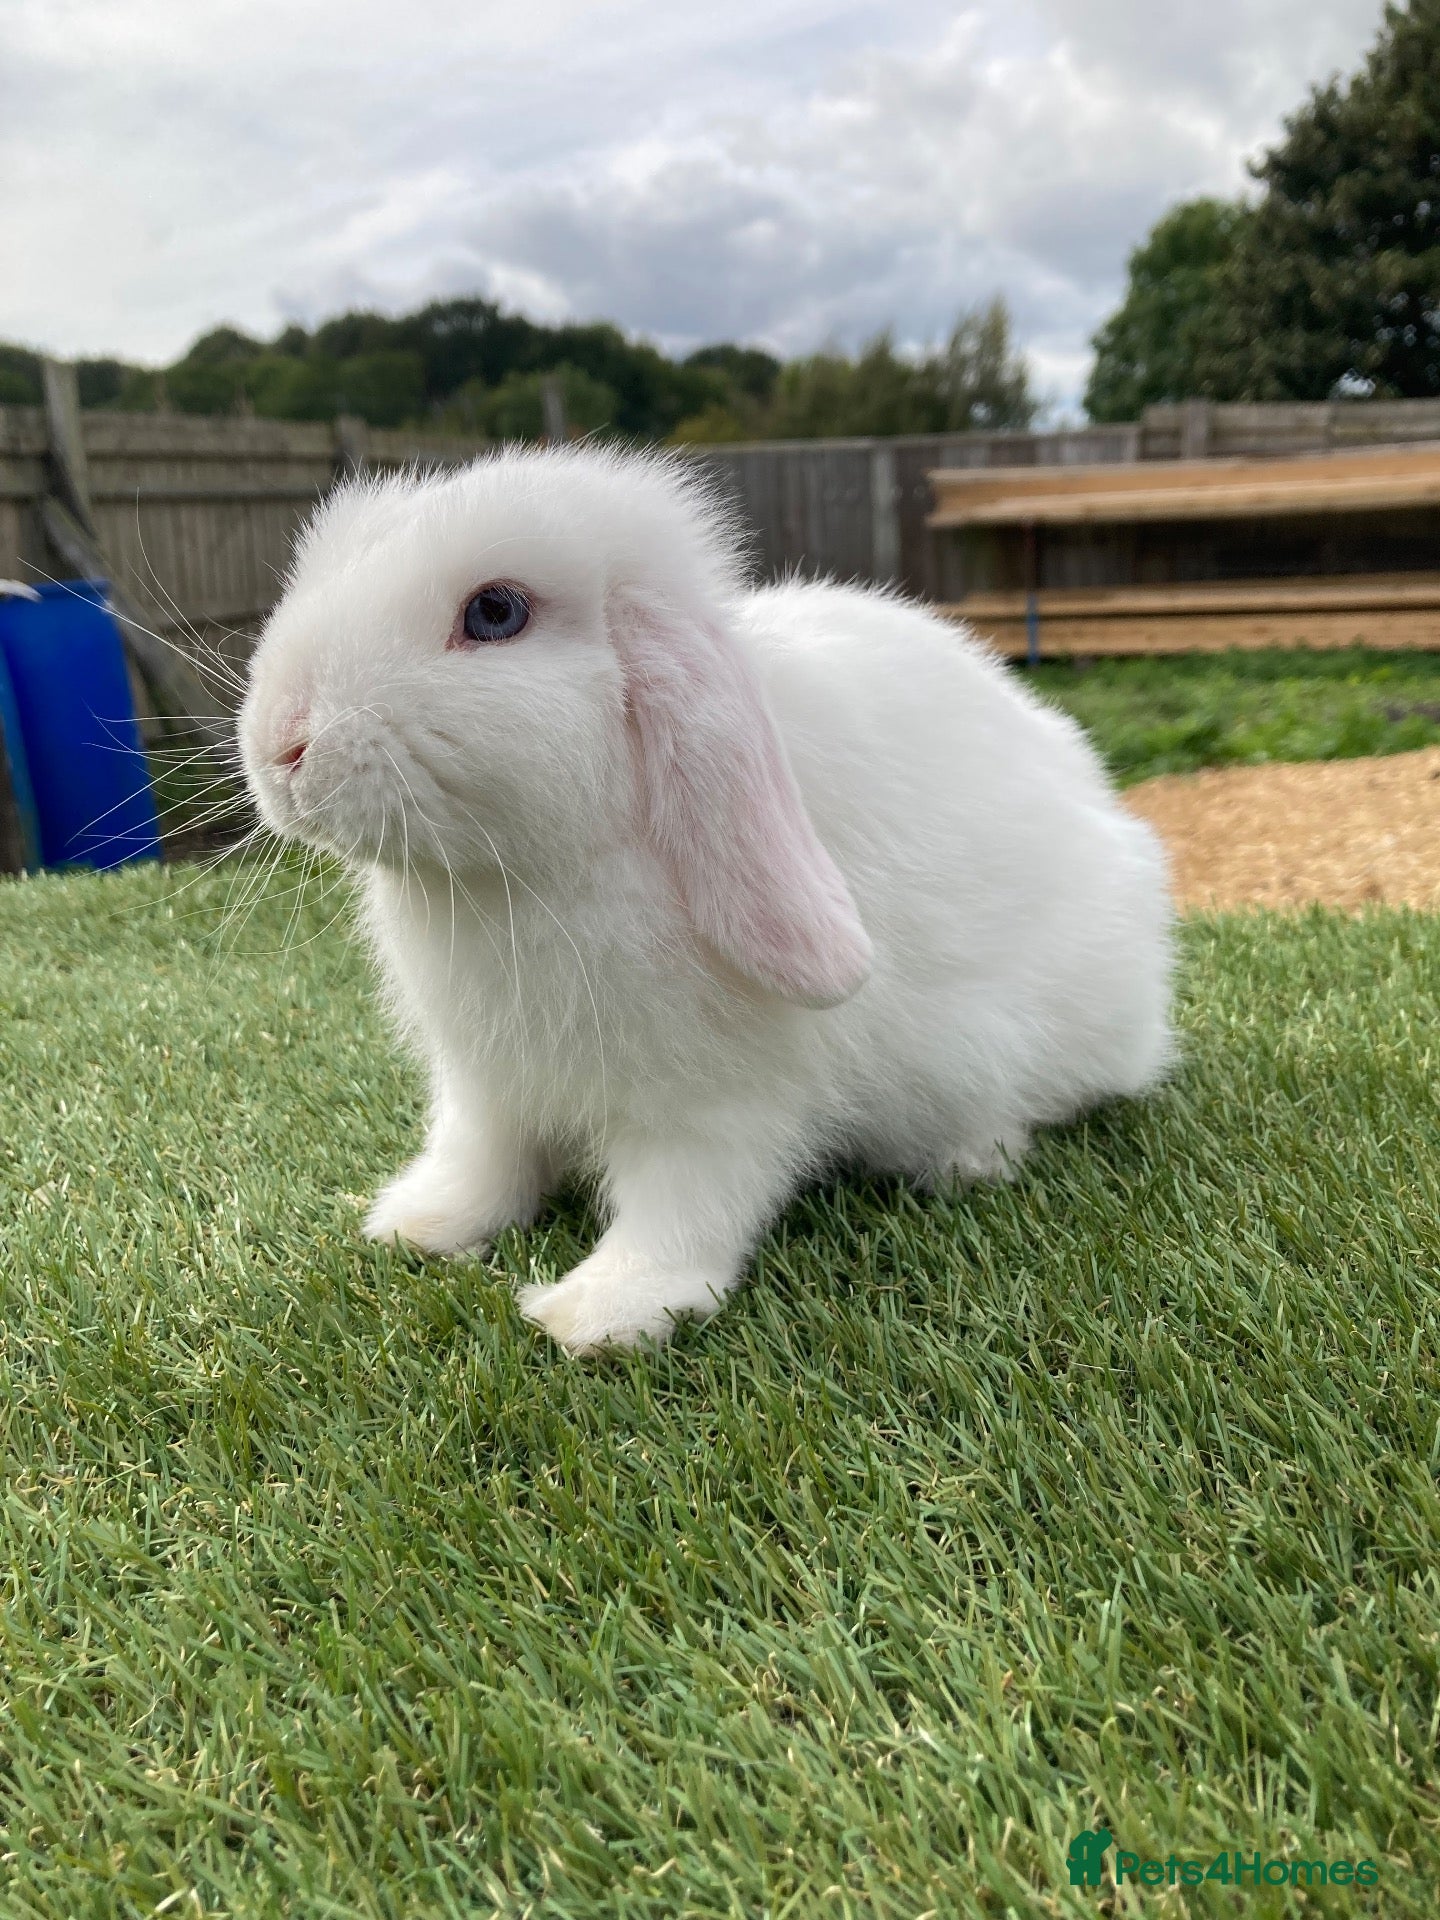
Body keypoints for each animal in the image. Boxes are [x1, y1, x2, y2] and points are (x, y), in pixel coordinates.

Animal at [238, 445, 1173, 1353]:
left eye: (496, 612)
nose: (281, 743)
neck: (512, 882)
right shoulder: (488, 1085)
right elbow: (483, 1162)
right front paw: (420, 1227)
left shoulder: (715, 1107)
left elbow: (684, 1207)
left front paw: (605, 1313)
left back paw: (974, 1157)